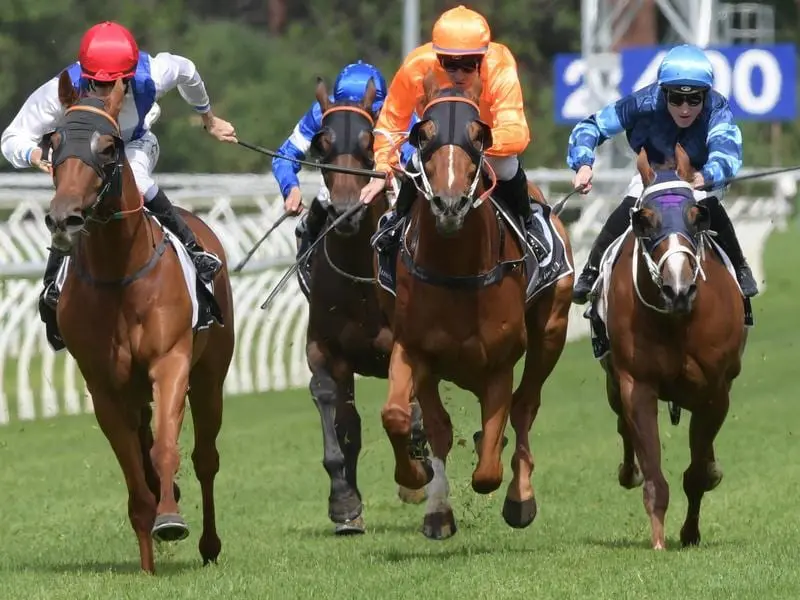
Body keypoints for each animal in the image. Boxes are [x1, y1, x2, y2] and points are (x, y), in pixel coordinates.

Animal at [43, 72, 234, 576]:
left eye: (108, 147)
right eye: (53, 142)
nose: (63, 218)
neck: (118, 273)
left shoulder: (171, 363)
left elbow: (165, 447)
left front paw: (170, 518)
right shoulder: (104, 386)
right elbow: (134, 472)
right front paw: (148, 557)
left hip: (210, 376)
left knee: (205, 458)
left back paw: (209, 543)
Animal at [302, 76, 428, 536]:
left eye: (368, 141)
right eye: (321, 142)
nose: (345, 212)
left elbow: (413, 414)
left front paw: (415, 477)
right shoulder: (325, 350)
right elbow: (336, 414)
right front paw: (344, 503)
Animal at [376, 71, 576, 540]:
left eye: (477, 134)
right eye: (423, 133)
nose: (449, 204)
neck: (456, 271)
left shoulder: (499, 362)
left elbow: (487, 468)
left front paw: (500, 473)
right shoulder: (413, 349)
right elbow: (405, 418)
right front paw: (420, 486)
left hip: (551, 333)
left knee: (524, 407)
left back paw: (520, 496)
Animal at [600, 144, 752, 548]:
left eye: (697, 217)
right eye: (645, 220)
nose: (678, 288)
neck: (678, 321)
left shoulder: (715, 390)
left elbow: (697, 474)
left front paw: (690, 531)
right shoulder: (637, 384)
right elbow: (653, 470)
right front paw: (658, 538)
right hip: (613, 381)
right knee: (622, 425)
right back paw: (628, 469)